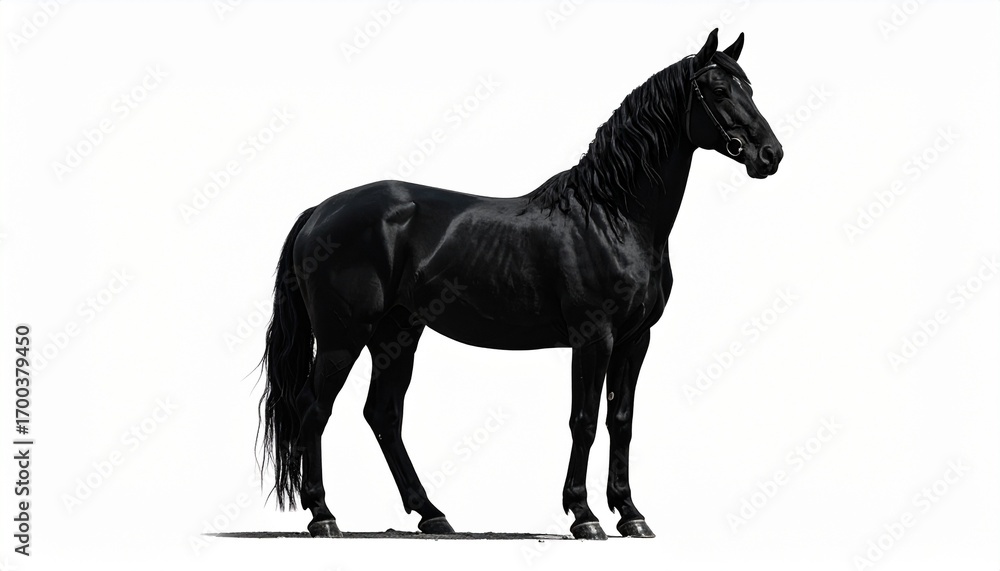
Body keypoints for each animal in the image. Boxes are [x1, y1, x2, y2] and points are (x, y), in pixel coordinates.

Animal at [258, 28, 783, 540]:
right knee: (314, 408)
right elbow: (584, 421)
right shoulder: (594, 337)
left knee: (382, 414)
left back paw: (432, 515)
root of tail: (320, 211)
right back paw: (323, 515)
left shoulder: (636, 339)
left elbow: (621, 421)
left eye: (751, 88)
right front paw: (584, 515)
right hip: (343, 337)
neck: (612, 216)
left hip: (397, 332)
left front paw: (631, 514)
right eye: (719, 90)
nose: (770, 154)